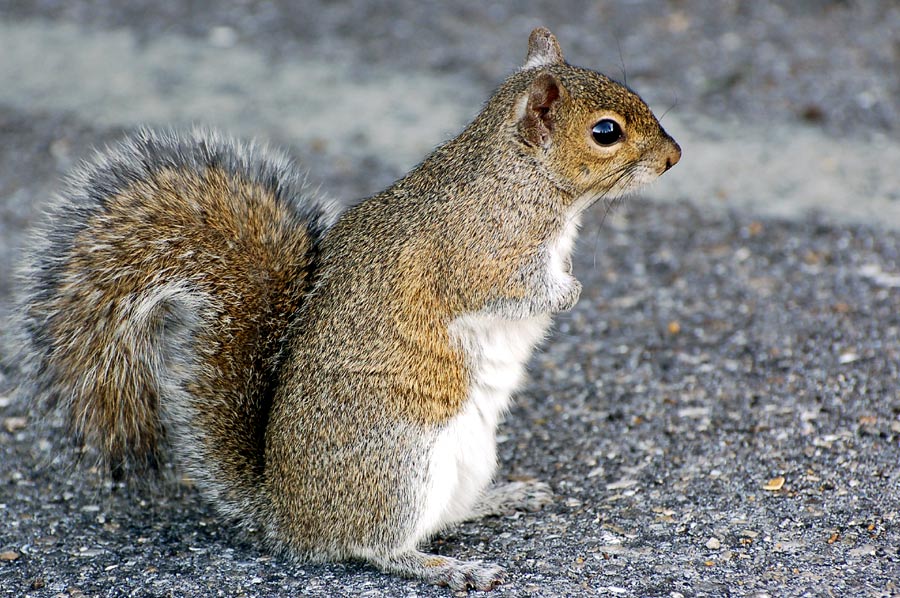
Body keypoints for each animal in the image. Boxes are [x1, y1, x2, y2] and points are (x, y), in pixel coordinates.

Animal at [14, 27, 680, 592]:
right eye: (605, 132)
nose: (674, 156)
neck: (521, 177)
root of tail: (290, 517)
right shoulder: (481, 255)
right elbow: (513, 291)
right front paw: (569, 292)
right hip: (401, 465)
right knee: (373, 545)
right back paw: (446, 568)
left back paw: (500, 498)